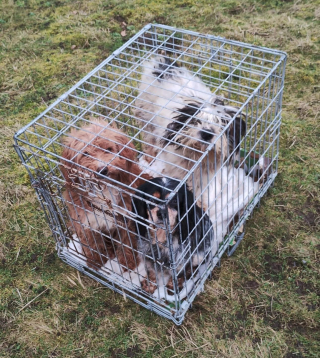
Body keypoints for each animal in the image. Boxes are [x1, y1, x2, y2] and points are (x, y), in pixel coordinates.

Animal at [60, 119, 149, 270]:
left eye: (109, 149)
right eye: (86, 153)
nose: (103, 170)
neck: (103, 189)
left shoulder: (126, 218)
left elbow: (127, 242)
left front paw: (128, 262)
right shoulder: (86, 220)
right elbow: (92, 243)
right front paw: (95, 261)